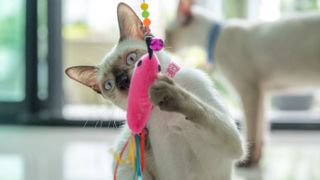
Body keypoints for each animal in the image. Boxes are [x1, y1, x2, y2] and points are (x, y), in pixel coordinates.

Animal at [66, 2, 244, 180]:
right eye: (109, 85)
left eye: (131, 58)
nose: (123, 81)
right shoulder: (172, 170)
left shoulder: (231, 142)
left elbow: (200, 109)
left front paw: (168, 93)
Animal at [166, 0, 320, 166]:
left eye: (167, 33)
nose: (165, 42)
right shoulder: (261, 91)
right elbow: (260, 131)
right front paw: (257, 159)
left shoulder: (248, 90)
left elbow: (251, 131)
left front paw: (249, 161)